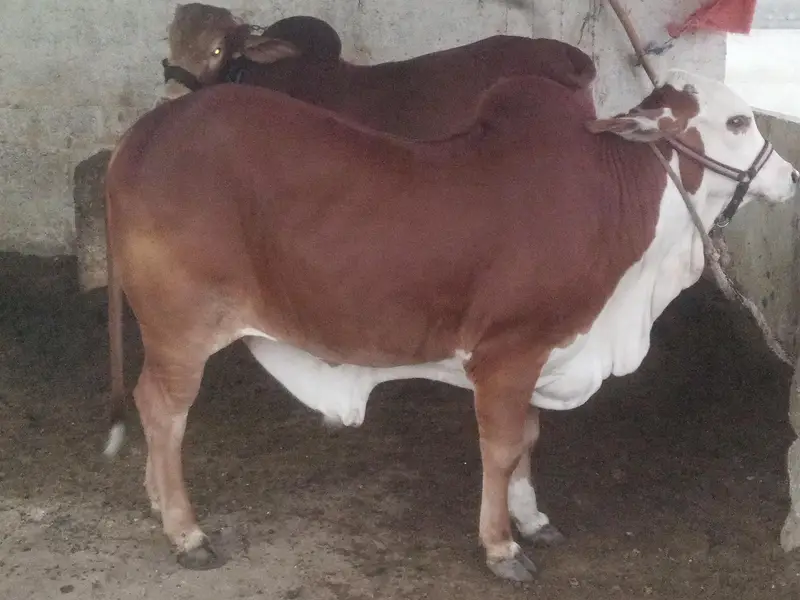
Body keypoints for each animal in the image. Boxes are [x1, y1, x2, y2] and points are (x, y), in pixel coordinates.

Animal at [102, 69, 798, 581]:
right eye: (736, 121)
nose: (790, 176)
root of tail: (145, 132)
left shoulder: (540, 351)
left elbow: (530, 438)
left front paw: (532, 519)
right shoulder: (507, 353)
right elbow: (502, 447)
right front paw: (502, 547)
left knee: (147, 404)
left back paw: (158, 503)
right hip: (181, 328)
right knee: (163, 410)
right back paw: (186, 531)